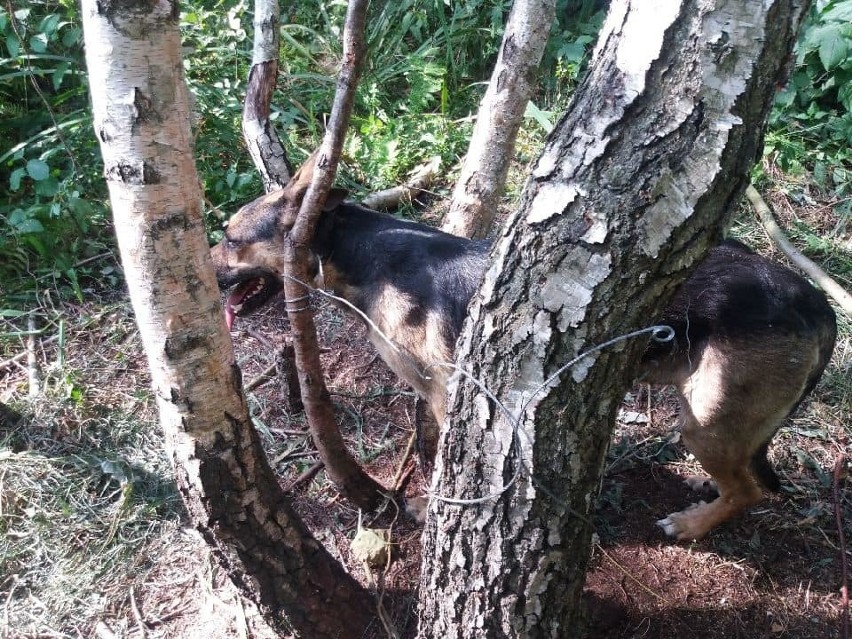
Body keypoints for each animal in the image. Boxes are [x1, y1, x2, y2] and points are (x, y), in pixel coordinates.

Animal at [210, 156, 836, 540]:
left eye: (229, 239)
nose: (202, 275)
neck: (365, 254)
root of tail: (816, 303)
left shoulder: (448, 391)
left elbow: (446, 467)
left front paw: (432, 506)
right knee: (749, 478)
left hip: (707, 422)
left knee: (753, 488)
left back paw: (692, 524)